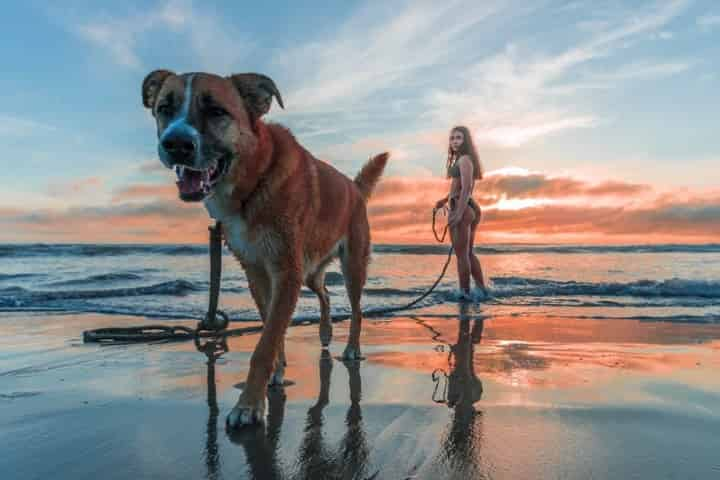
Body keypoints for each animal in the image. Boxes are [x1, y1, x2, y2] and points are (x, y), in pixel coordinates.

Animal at [141, 70, 388, 428]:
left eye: (216, 111)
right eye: (164, 108)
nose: (175, 144)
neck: (253, 181)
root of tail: (353, 188)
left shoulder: (286, 271)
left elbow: (266, 341)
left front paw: (249, 404)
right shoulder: (258, 272)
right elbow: (272, 328)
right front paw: (277, 372)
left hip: (351, 265)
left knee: (356, 309)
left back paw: (352, 348)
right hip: (309, 270)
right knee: (326, 293)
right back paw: (325, 332)